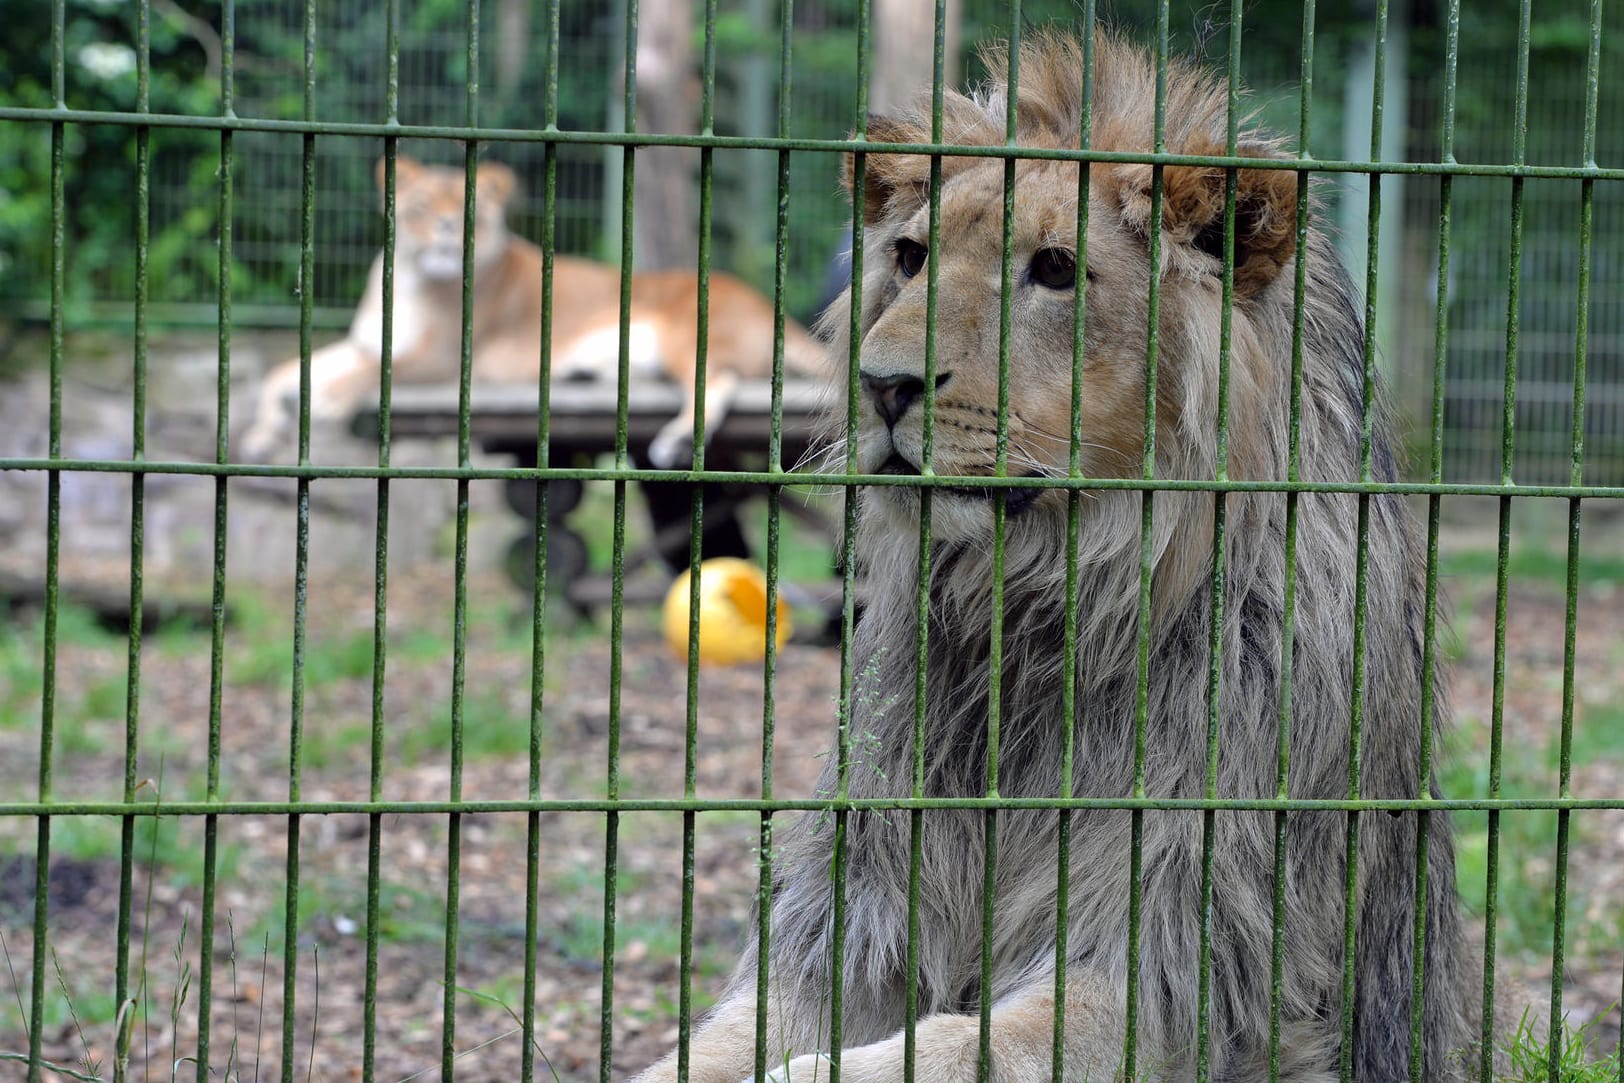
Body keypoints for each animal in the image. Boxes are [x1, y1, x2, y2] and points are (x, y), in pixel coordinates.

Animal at [237, 154, 824, 467]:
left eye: (468, 210)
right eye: (424, 206)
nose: (447, 227)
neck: (407, 278)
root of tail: (771, 308)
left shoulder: (447, 357)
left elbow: (376, 370)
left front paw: (328, 402)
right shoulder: (364, 341)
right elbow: (284, 371)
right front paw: (260, 434)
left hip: (686, 335)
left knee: (718, 382)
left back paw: (675, 440)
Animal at [636, 25, 1474, 1083]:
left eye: (1057, 270)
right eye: (909, 257)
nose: (882, 384)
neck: (1037, 615)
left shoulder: (1175, 962)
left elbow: (948, 1048)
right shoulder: (850, 922)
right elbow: (716, 1041)